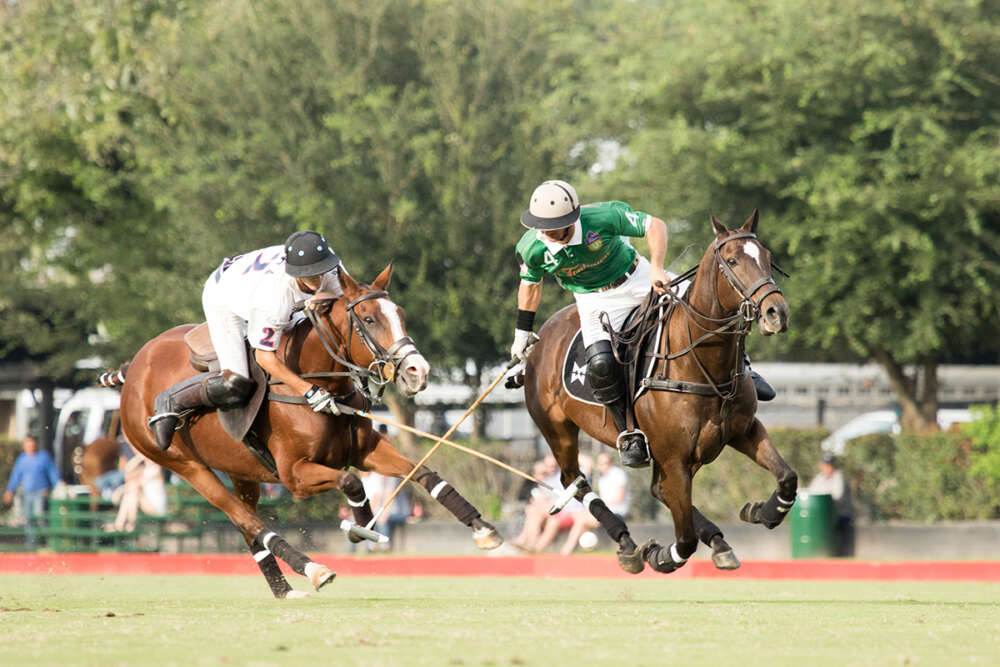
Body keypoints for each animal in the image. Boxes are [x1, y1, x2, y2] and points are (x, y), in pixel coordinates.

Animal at [114, 266, 504, 600]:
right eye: (368, 319)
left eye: (401, 313)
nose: (417, 372)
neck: (319, 382)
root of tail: (133, 368)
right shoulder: (294, 475)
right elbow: (351, 481)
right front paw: (361, 524)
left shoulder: (366, 449)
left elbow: (421, 472)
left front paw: (483, 529)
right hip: (184, 466)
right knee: (247, 519)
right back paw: (313, 568)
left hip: (241, 471)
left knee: (248, 526)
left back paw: (284, 589)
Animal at [524, 213, 796, 576]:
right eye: (733, 261)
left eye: (767, 256)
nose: (776, 313)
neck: (703, 364)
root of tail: (543, 336)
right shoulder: (674, 457)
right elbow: (685, 539)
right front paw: (660, 555)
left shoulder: (743, 430)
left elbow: (787, 477)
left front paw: (761, 512)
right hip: (557, 429)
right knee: (575, 479)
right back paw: (628, 544)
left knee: (652, 489)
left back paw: (716, 542)